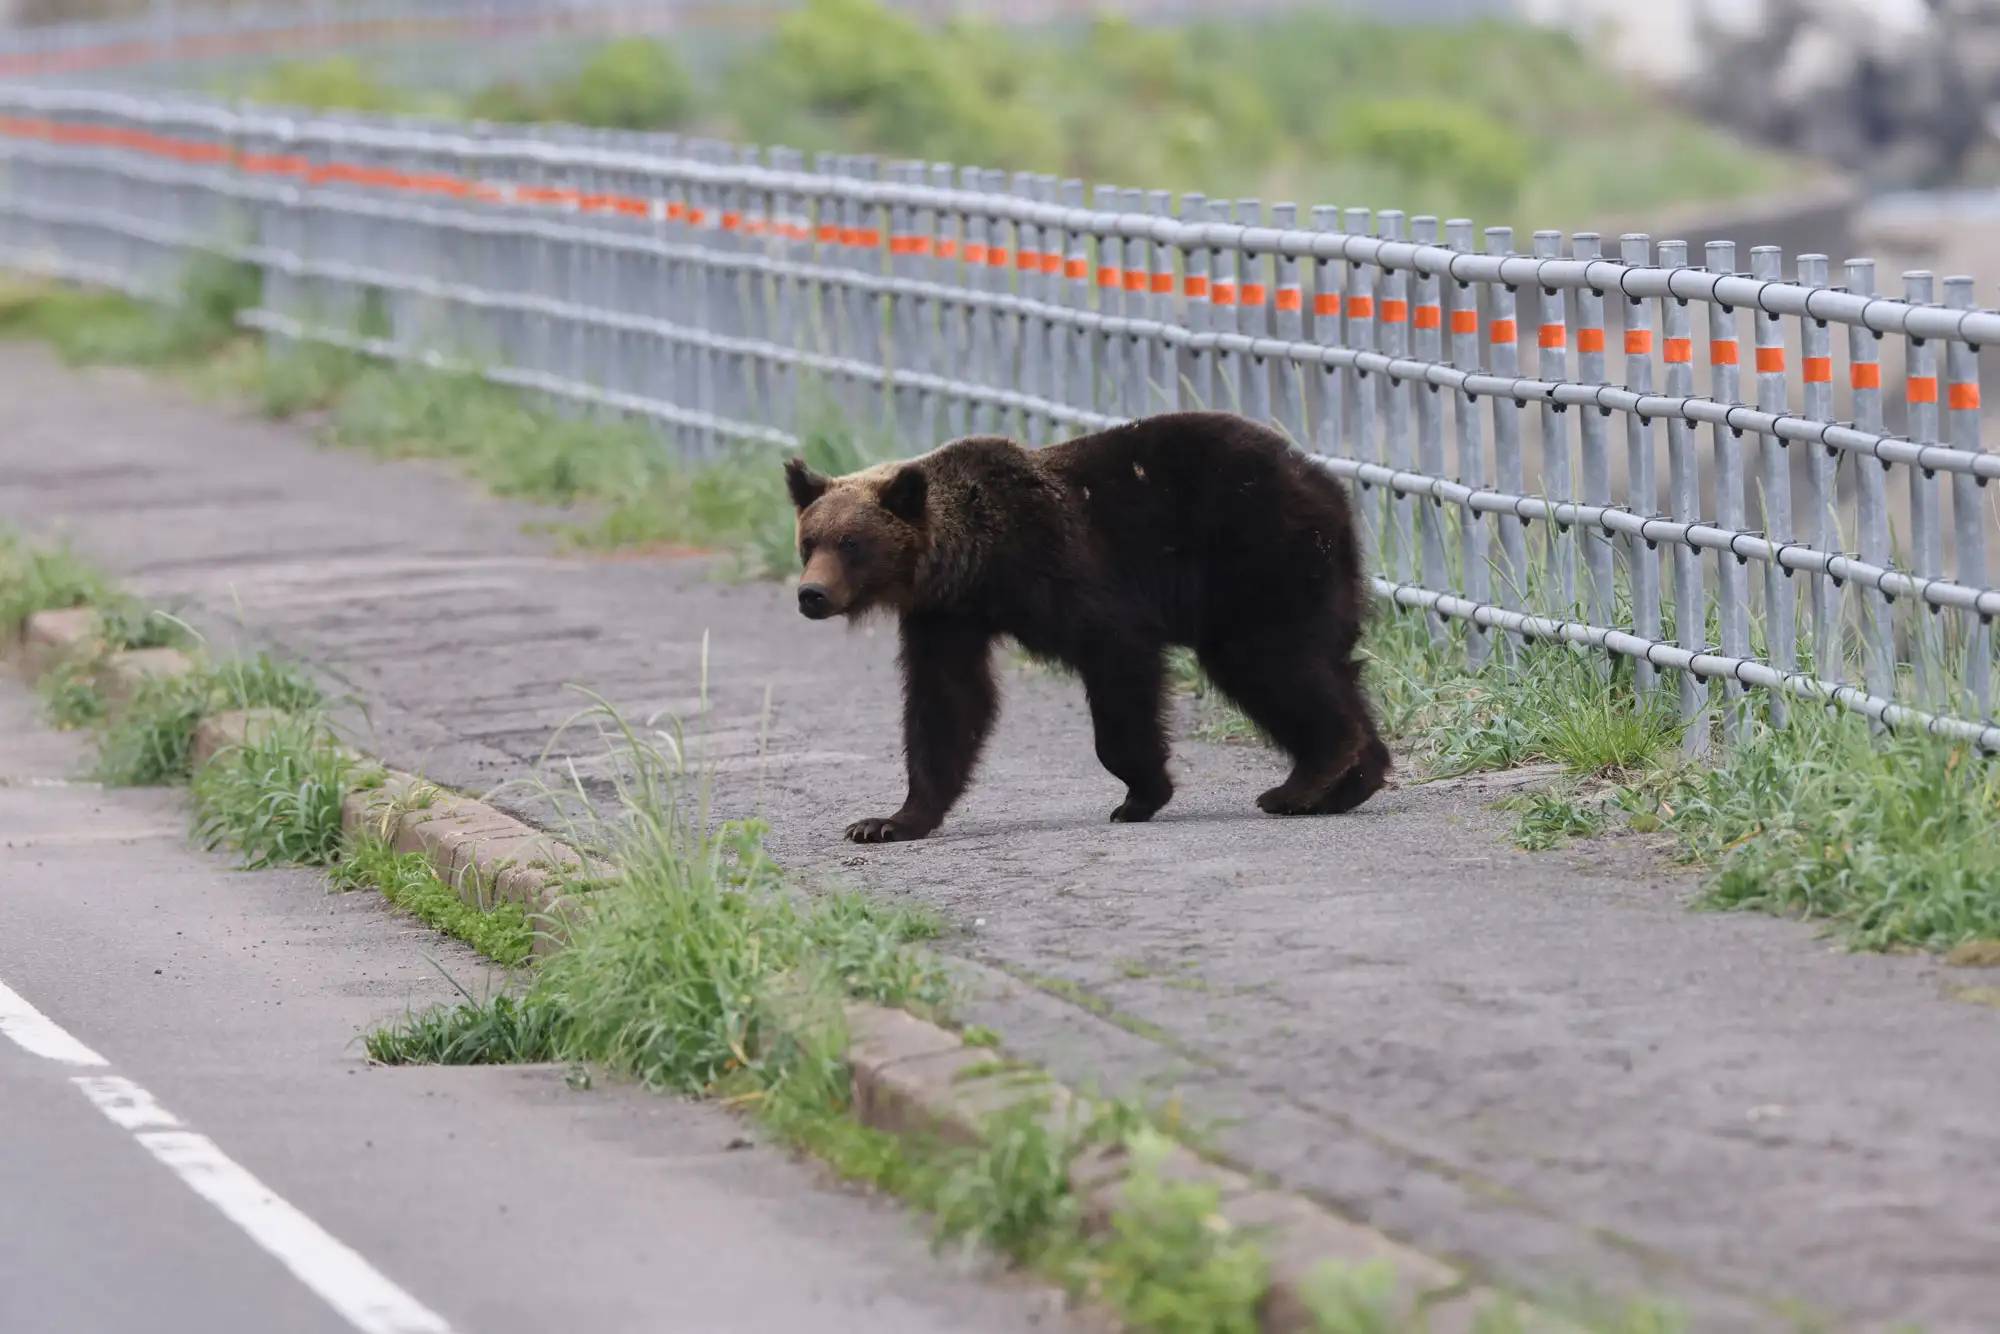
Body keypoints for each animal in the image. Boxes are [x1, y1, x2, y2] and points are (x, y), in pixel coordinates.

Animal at [784, 410, 1389, 843]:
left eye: (851, 543)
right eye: (810, 542)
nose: (810, 594)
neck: (979, 561)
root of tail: (1326, 482)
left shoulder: (1065, 568)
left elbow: (1117, 659)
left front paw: (1140, 794)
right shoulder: (946, 616)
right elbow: (948, 702)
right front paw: (886, 821)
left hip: (1258, 552)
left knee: (1266, 661)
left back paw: (1303, 781)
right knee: (1321, 665)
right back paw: (1352, 780)